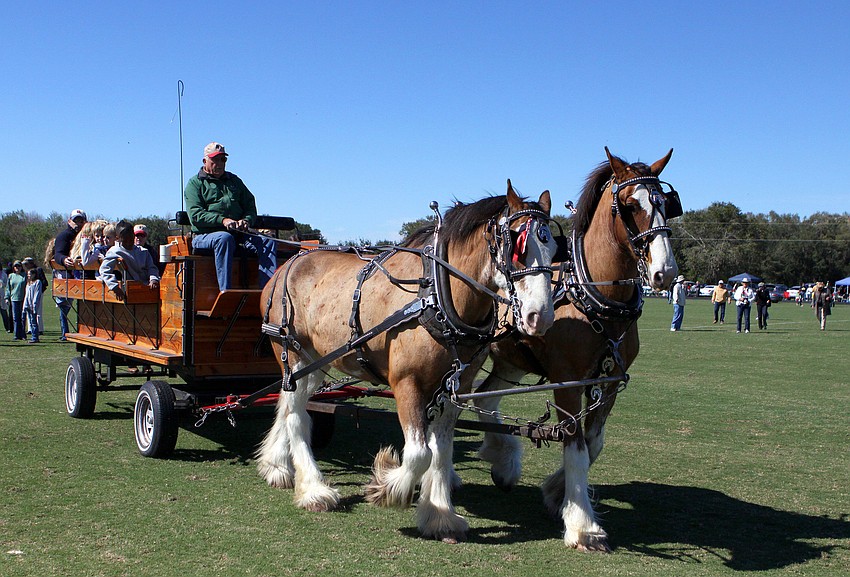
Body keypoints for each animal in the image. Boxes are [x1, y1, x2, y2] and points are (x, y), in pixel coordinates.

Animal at [255, 181, 557, 543]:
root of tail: (287, 264)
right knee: (297, 417)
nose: (540, 316)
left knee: (287, 406)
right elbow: (419, 453)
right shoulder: (406, 383)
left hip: (315, 362)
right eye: (516, 247)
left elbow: (441, 450)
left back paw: (277, 466)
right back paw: (314, 489)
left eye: (554, 248)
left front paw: (439, 515)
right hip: (294, 355)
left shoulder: (454, 388)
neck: (437, 296)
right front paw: (387, 485)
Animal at [473, 148, 680, 550]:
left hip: (510, 361)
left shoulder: (610, 382)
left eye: (666, 203)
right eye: (631, 205)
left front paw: (557, 493)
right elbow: (577, 447)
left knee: (484, 397)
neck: (590, 295)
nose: (665, 272)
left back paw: (502, 461)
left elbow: (593, 443)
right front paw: (582, 524)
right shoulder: (567, 383)